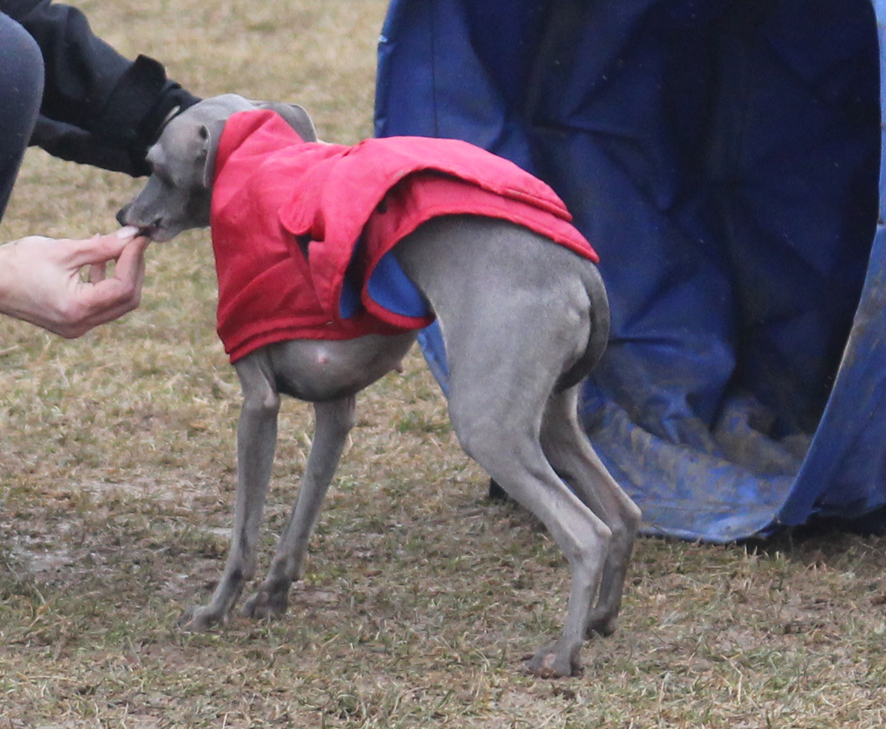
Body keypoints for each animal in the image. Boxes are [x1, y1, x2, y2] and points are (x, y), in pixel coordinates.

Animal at [119, 92, 644, 676]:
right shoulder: (336, 408)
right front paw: (273, 597)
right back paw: (600, 620)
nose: (124, 216)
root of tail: (580, 271)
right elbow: (301, 517)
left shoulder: (258, 403)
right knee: (623, 513)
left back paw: (561, 655)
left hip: (489, 426)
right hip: (552, 417)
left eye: (156, 165)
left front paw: (214, 612)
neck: (262, 162)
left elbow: (244, 536)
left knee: (587, 534)